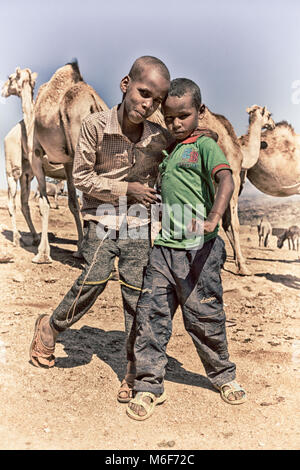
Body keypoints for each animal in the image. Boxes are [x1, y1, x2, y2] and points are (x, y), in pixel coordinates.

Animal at [2, 61, 108, 264]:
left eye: (10, 78)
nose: (2, 90)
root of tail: (94, 101)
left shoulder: (37, 157)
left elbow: (46, 203)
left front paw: (43, 255)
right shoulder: (68, 163)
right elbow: (73, 203)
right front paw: (79, 248)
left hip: (15, 170)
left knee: (16, 202)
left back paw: (20, 239)